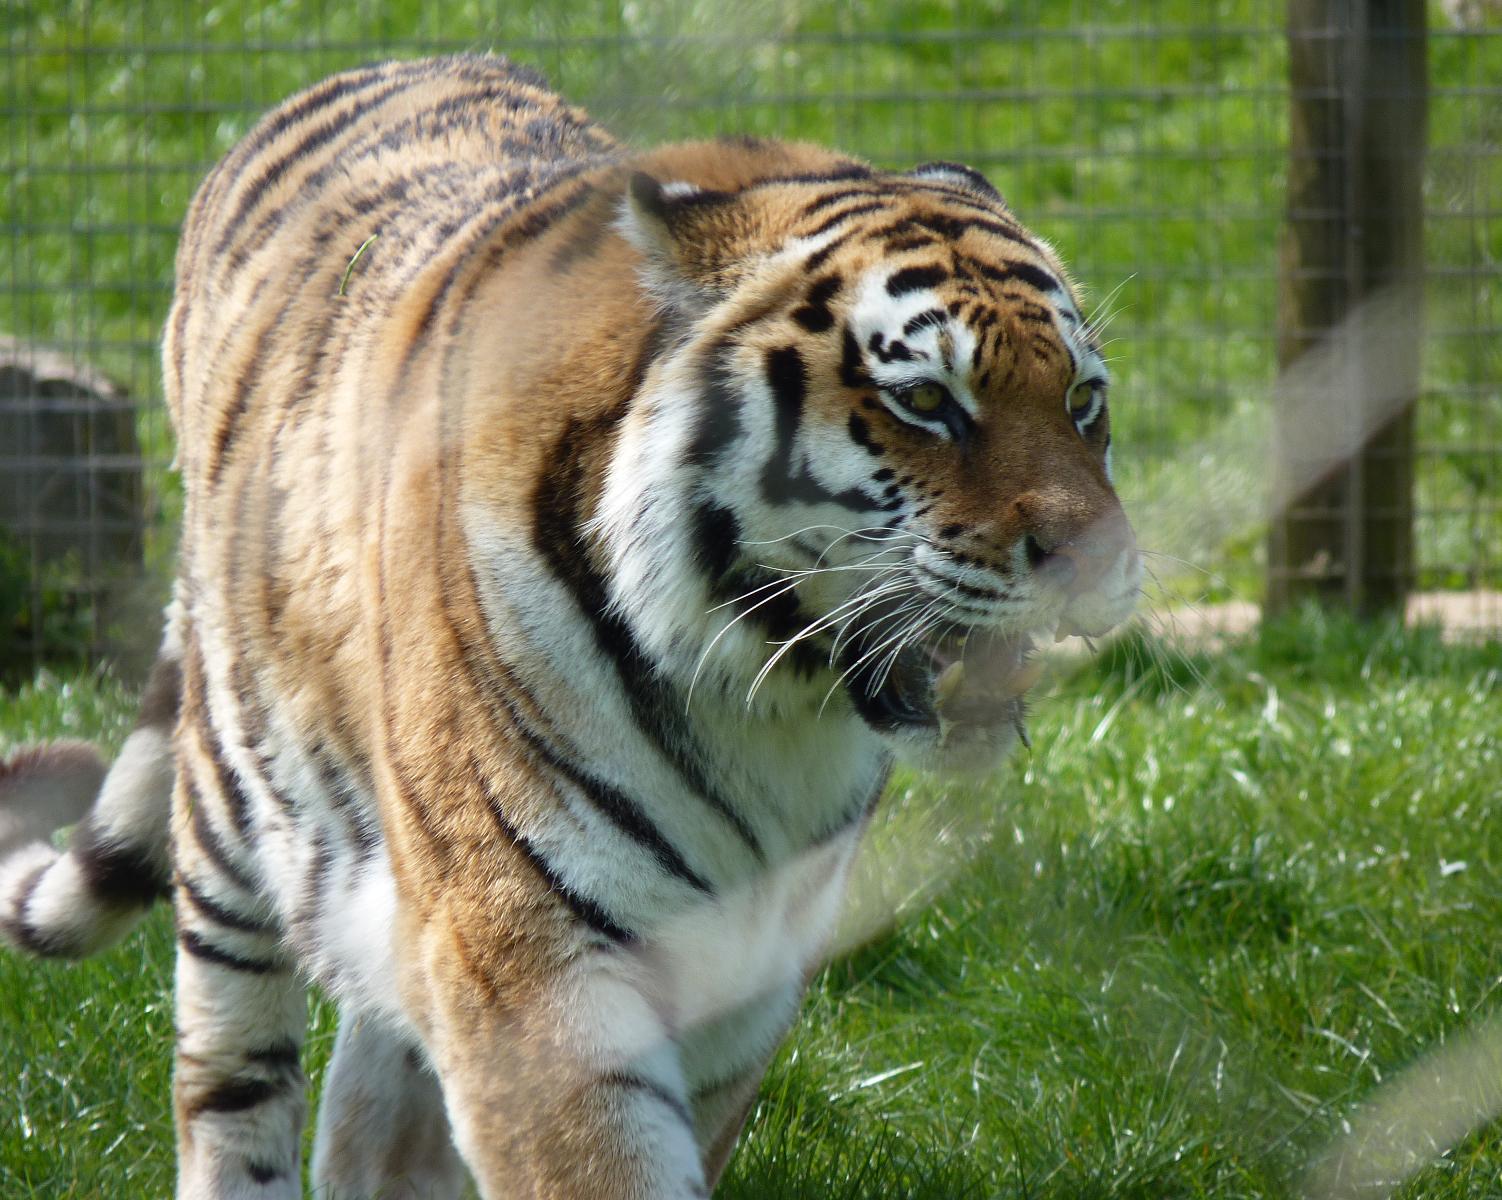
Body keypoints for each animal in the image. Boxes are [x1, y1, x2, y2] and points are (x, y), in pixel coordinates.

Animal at [0, 53, 1140, 1199]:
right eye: (926, 402)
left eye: (1083, 401)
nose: (1099, 565)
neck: (767, 707)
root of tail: (390, 61)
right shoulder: (525, 954)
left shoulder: (740, 977)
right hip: (240, 822)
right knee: (231, 1074)